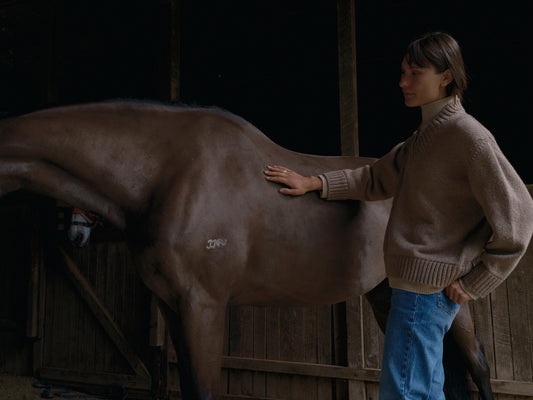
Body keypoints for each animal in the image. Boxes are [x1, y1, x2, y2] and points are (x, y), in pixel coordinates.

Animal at [0, 101, 490, 400]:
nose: (76, 235)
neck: (168, 174)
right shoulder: (173, 306)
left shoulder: (204, 306)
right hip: (387, 294)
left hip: (449, 299)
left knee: (478, 367)